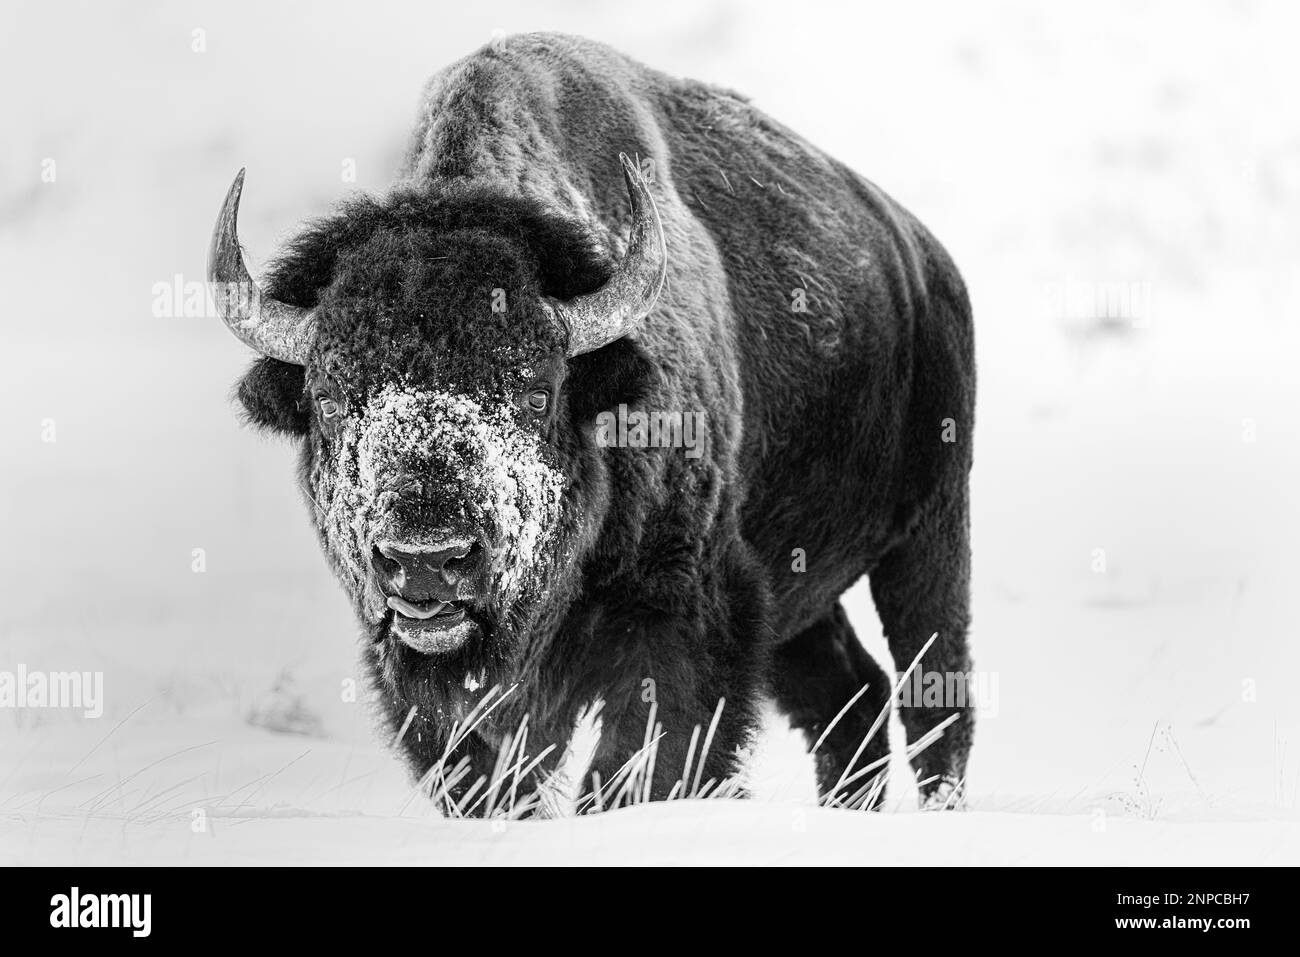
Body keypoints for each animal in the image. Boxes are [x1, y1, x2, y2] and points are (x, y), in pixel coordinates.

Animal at [205, 31, 977, 806]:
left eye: (538, 390)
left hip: (932, 539)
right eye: (330, 395)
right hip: (802, 598)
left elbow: (637, 761)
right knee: (852, 693)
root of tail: (928, 260)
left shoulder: (683, 610)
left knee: (934, 693)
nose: (427, 558)